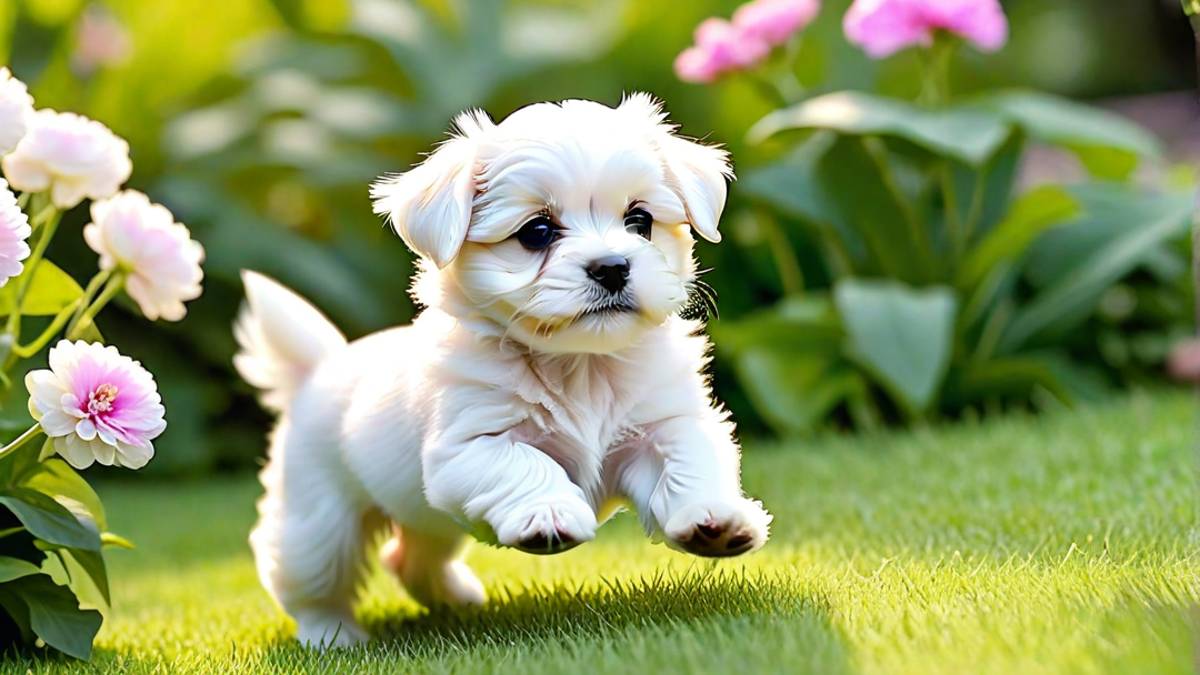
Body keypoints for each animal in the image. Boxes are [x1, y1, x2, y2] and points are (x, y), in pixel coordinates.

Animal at [232, 91, 772, 643]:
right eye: (537, 231)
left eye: (639, 221)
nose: (612, 267)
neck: (579, 364)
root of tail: (318, 369)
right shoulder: (468, 446)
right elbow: (527, 463)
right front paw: (548, 513)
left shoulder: (661, 424)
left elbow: (689, 457)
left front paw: (713, 518)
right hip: (320, 519)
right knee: (310, 579)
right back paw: (333, 636)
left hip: (421, 518)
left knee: (409, 556)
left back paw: (454, 599)